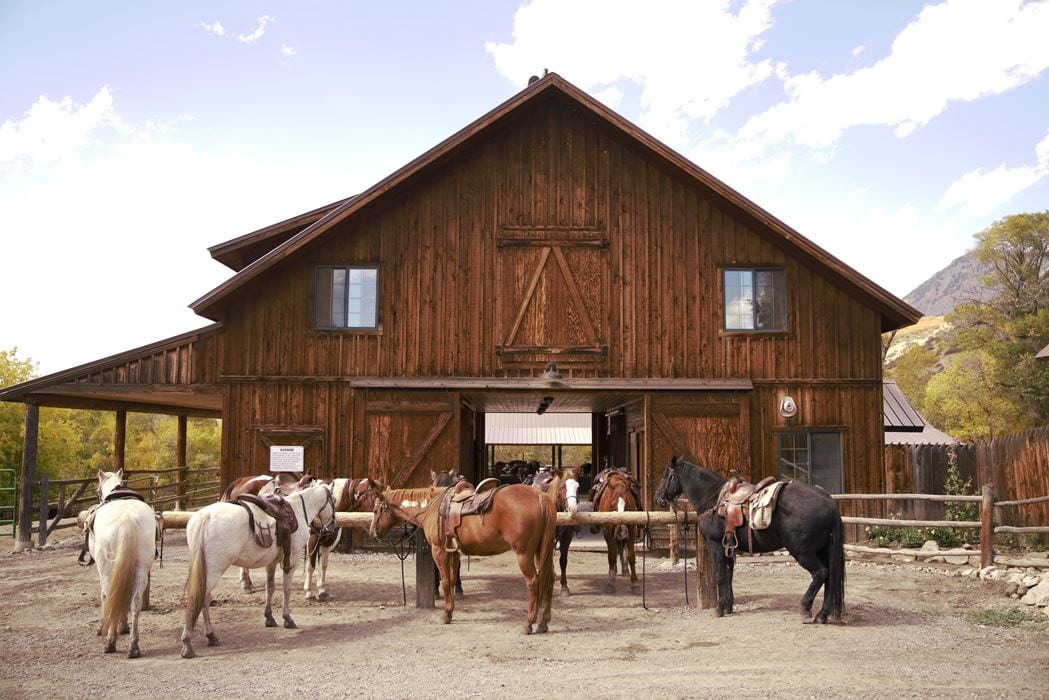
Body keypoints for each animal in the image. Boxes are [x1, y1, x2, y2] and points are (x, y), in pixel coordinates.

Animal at [86, 470, 156, 659]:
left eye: (96, 490)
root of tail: (128, 518)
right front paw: (123, 626)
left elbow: (106, 596)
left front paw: (103, 627)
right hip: (141, 568)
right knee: (136, 601)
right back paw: (133, 646)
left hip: (107, 568)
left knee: (108, 594)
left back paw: (110, 642)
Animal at [180, 478, 333, 659]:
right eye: (334, 501)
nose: (331, 528)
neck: (298, 510)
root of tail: (205, 516)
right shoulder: (292, 560)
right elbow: (286, 589)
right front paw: (287, 619)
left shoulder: (271, 563)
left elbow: (270, 588)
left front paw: (269, 618)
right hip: (213, 570)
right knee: (200, 598)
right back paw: (188, 644)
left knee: (203, 599)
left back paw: (211, 636)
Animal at [373, 482, 562, 633]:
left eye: (376, 510)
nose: (373, 532)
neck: (432, 507)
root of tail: (539, 496)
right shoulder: (453, 553)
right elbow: (451, 580)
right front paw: (450, 611)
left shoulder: (439, 551)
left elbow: (445, 581)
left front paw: (445, 615)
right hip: (540, 551)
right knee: (550, 579)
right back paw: (543, 623)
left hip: (524, 553)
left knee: (533, 582)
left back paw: (528, 624)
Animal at [591, 468, 637, 596]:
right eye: (612, 505)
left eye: (628, 504)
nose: (622, 532)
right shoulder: (608, 531)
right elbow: (611, 556)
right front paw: (610, 583)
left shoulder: (631, 529)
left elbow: (631, 556)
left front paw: (635, 584)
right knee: (614, 550)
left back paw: (625, 570)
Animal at [654, 459, 843, 625]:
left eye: (665, 475)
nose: (657, 498)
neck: (713, 500)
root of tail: (828, 501)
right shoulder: (728, 547)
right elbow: (729, 575)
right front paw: (728, 607)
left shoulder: (716, 546)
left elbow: (720, 576)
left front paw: (719, 609)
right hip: (823, 550)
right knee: (830, 578)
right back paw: (822, 615)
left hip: (802, 552)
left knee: (820, 573)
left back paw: (806, 608)